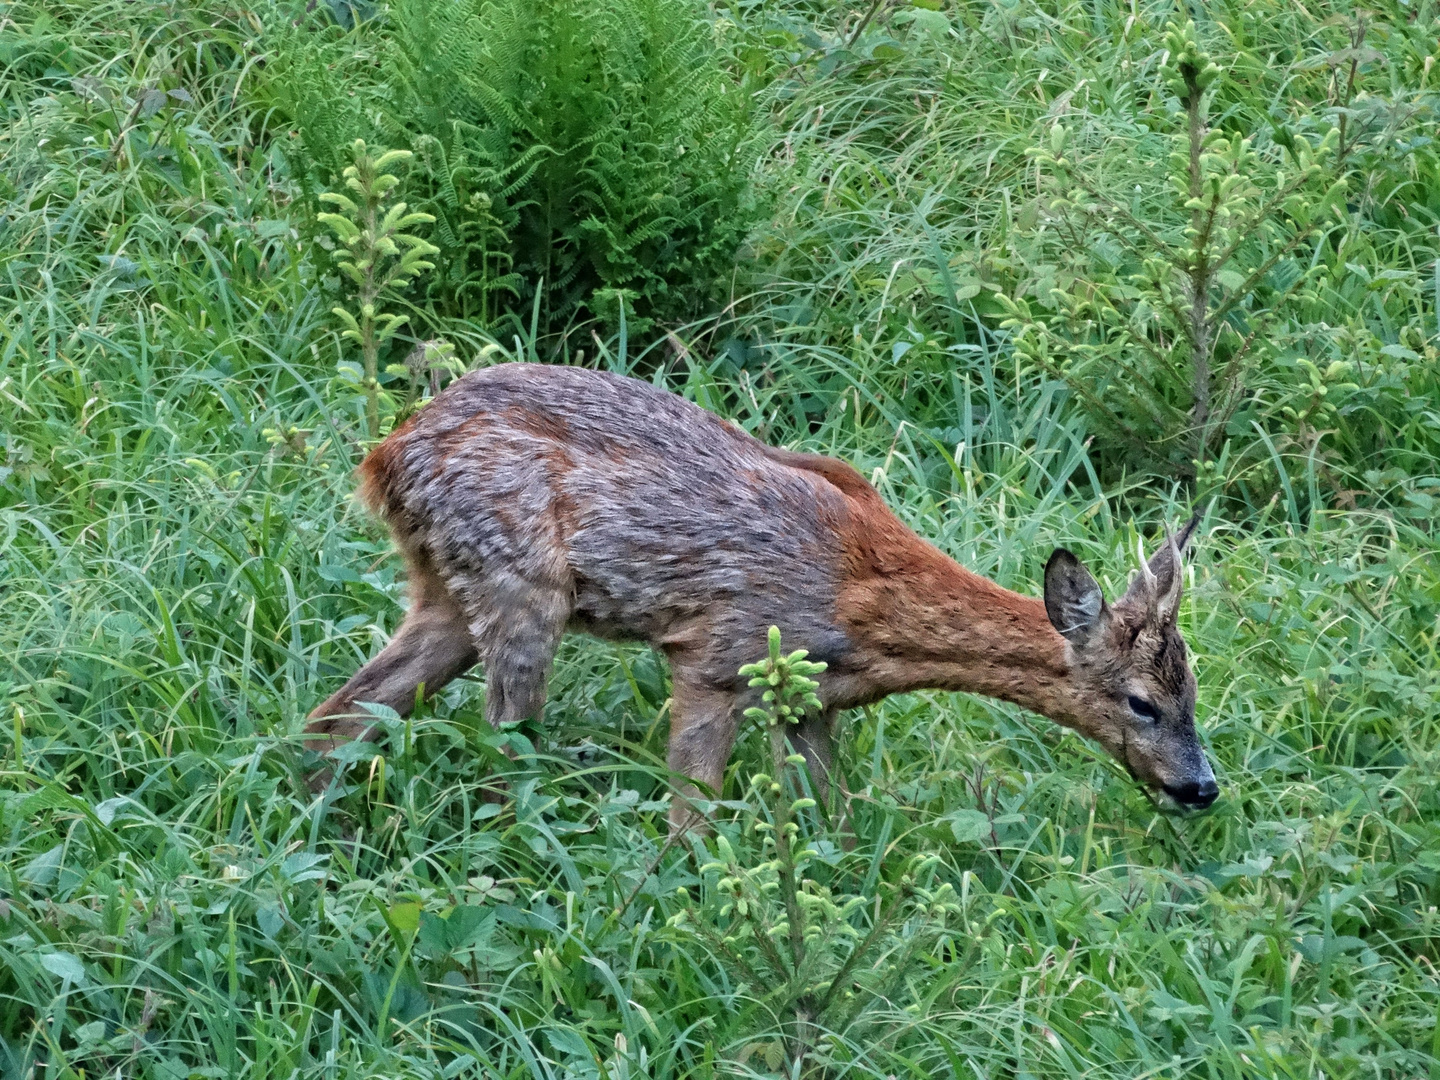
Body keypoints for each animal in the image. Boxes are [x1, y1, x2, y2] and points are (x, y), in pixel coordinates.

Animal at [303, 364, 1215, 829]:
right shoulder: (716, 657)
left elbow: (833, 818)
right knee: (502, 750)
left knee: (339, 714)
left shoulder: (810, 700)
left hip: (446, 593)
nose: (1201, 787)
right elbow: (692, 819)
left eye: (1193, 690)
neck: (863, 609)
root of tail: (384, 457)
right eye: (1140, 701)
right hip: (520, 591)